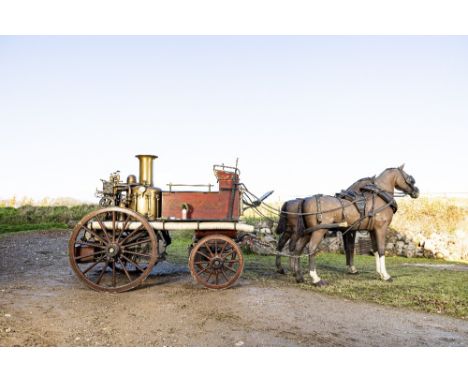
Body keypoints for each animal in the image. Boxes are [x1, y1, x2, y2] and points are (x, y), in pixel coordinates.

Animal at [276, 166, 418, 286]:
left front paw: (380, 274)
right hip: (317, 231)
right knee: (310, 248)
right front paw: (386, 275)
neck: (378, 198)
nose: (417, 191)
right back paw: (316, 279)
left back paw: (298, 276)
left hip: (307, 232)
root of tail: (305, 200)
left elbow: (375, 250)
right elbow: (380, 250)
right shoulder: (380, 229)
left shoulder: (372, 230)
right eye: (409, 177)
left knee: (296, 248)